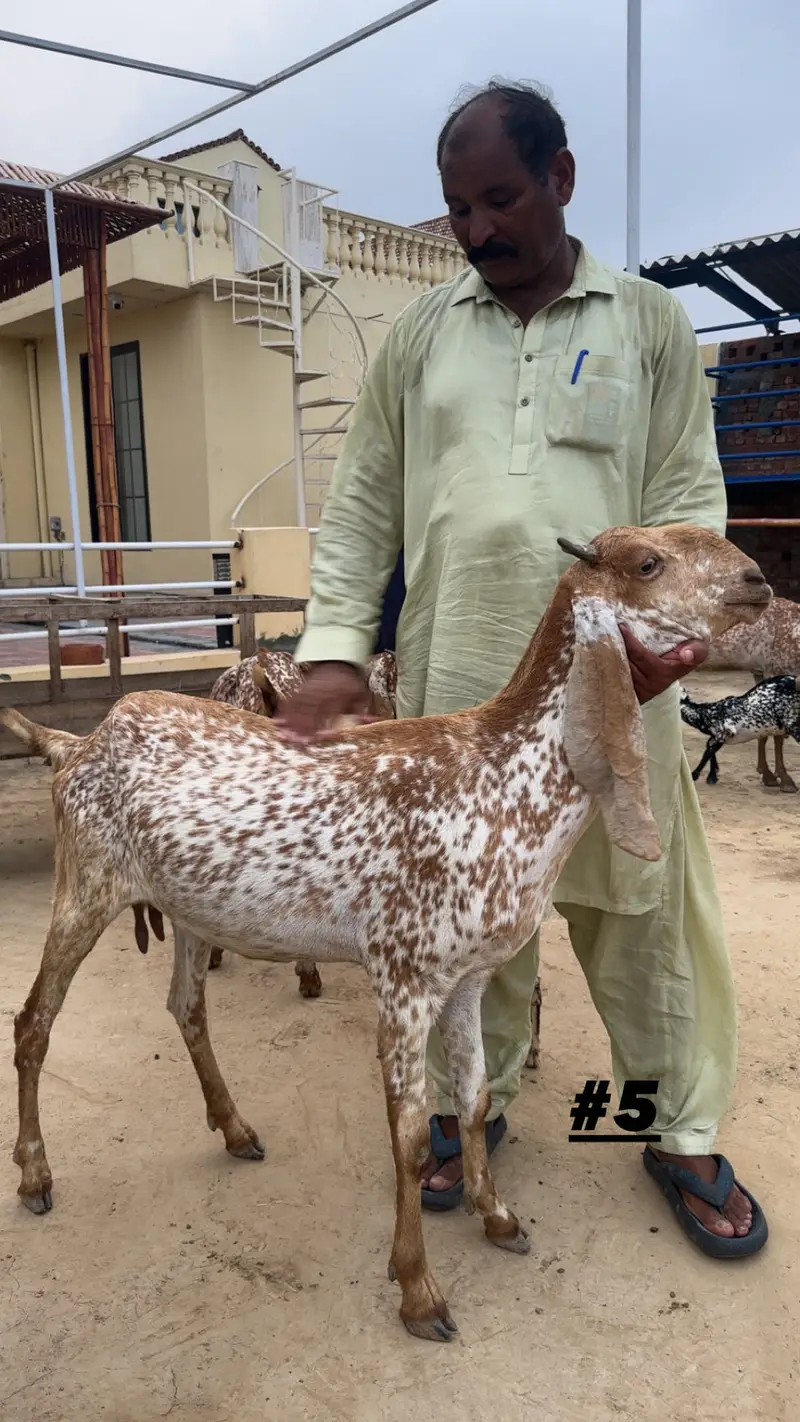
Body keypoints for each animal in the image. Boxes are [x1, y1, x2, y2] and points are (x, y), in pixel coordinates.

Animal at [2, 524, 770, 1343]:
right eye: (648, 563)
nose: (758, 581)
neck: (501, 779)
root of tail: (74, 744)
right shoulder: (404, 975)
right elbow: (407, 1137)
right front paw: (418, 1290)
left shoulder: (467, 977)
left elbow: (473, 1098)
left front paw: (496, 1215)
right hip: (85, 886)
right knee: (34, 1022)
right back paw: (36, 1174)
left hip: (187, 910)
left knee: (185, 1006)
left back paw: (235, 1129)